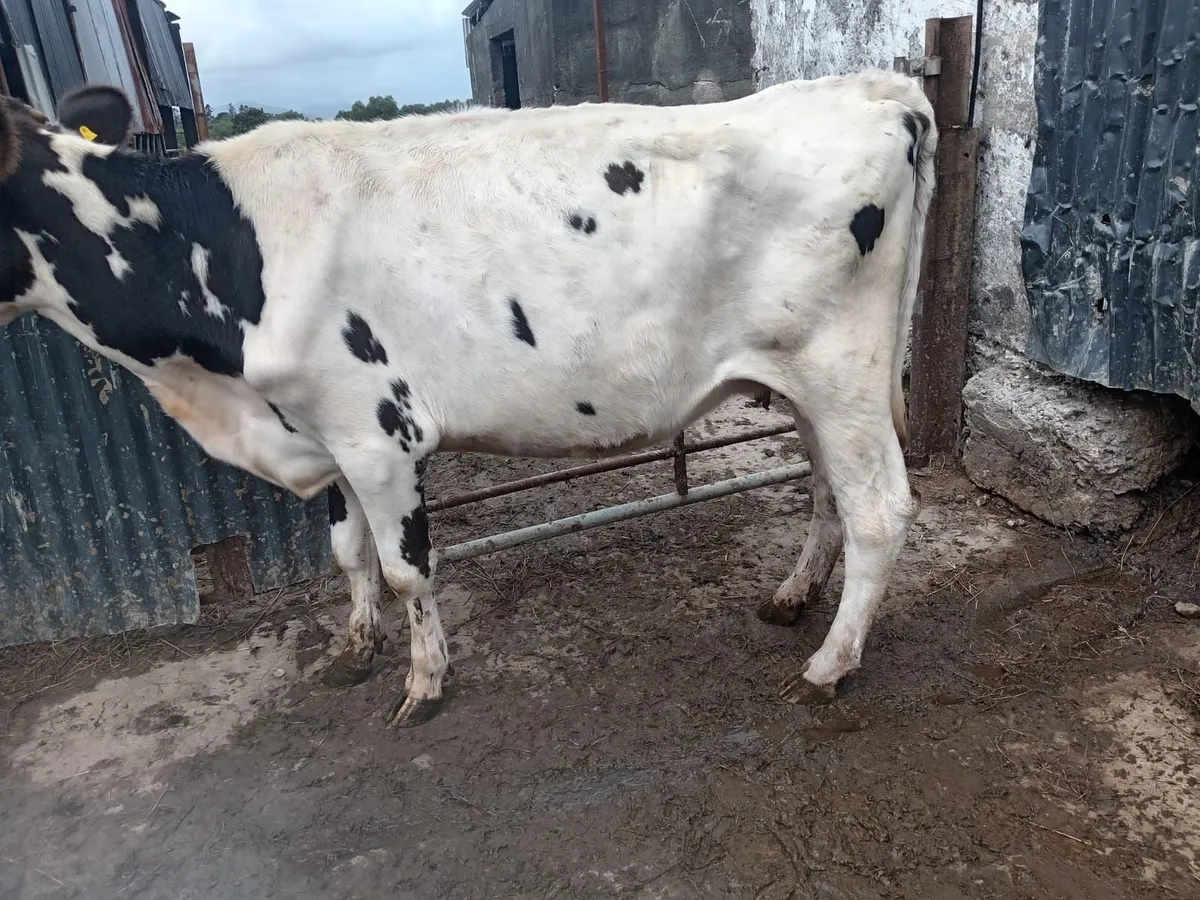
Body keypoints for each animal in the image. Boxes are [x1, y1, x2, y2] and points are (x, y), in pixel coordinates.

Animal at [0, 73, 936, 727]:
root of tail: (878, 90)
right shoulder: (326, 430)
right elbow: (347, 555)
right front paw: (356, 647)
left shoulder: (379, 433)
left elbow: (407, 568)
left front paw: (424, 682)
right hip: (805, 383)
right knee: (826, 491)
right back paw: (792, 598)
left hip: (842, 372)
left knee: (879, 511)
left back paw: (828, 667)